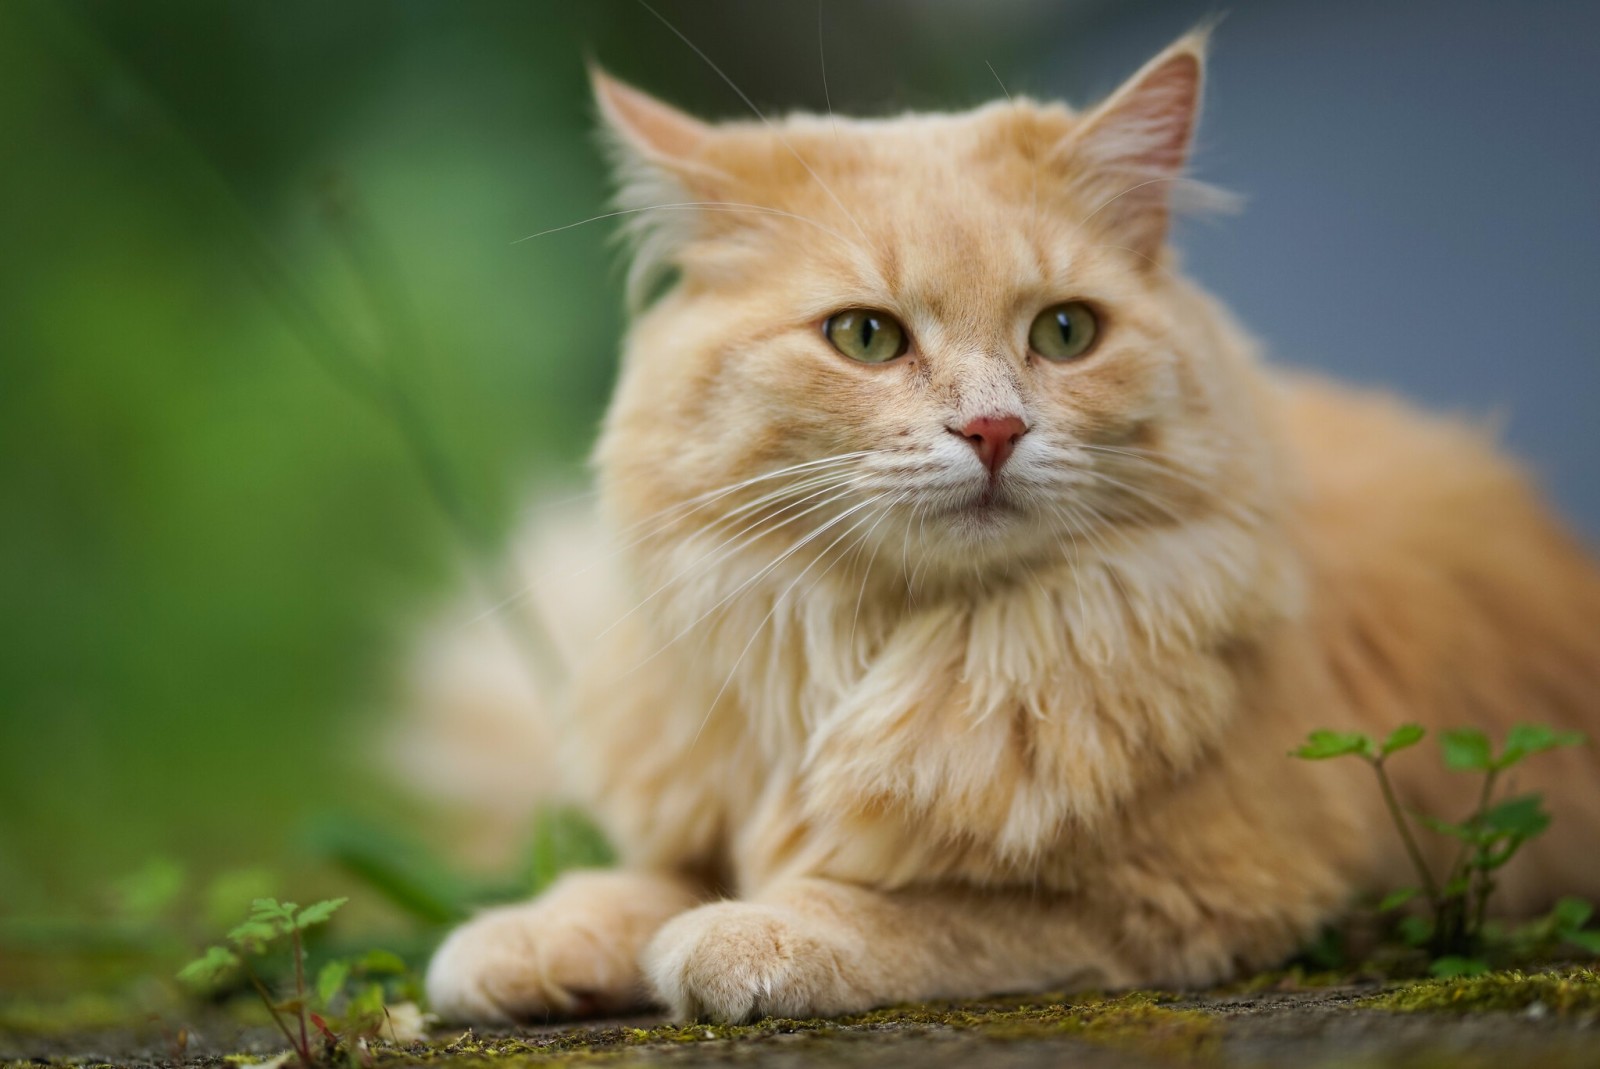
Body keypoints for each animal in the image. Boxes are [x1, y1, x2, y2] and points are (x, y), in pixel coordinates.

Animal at [416, 29, 1600, 1024]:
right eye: (864, 336)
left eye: (1065, 332)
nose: (993, 428)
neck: (881, 650)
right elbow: (634, 881)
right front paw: (526, 942)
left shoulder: (1196, 897)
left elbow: (907, 908)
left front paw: (742, 935)